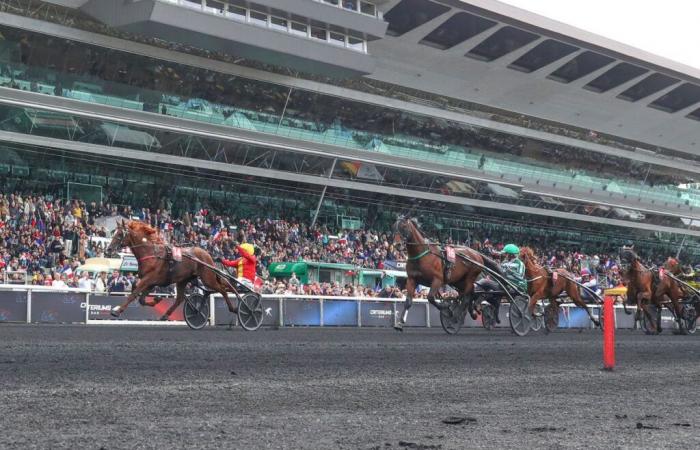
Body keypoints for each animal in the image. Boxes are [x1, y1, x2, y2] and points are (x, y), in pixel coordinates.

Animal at [104, 219, 235, 318]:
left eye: (119, 234)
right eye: (113, 233)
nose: (108, 250)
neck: (151, 253)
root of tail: (207, 254)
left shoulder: (148, 279)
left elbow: (134, 294)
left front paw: (117, 311)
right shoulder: (151, 282)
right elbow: (141, 299)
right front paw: (156, 300)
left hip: (207, 278)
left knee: (222, 289)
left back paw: (233, 308)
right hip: (183, 280)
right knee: (180, 298)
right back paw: (166, 315)